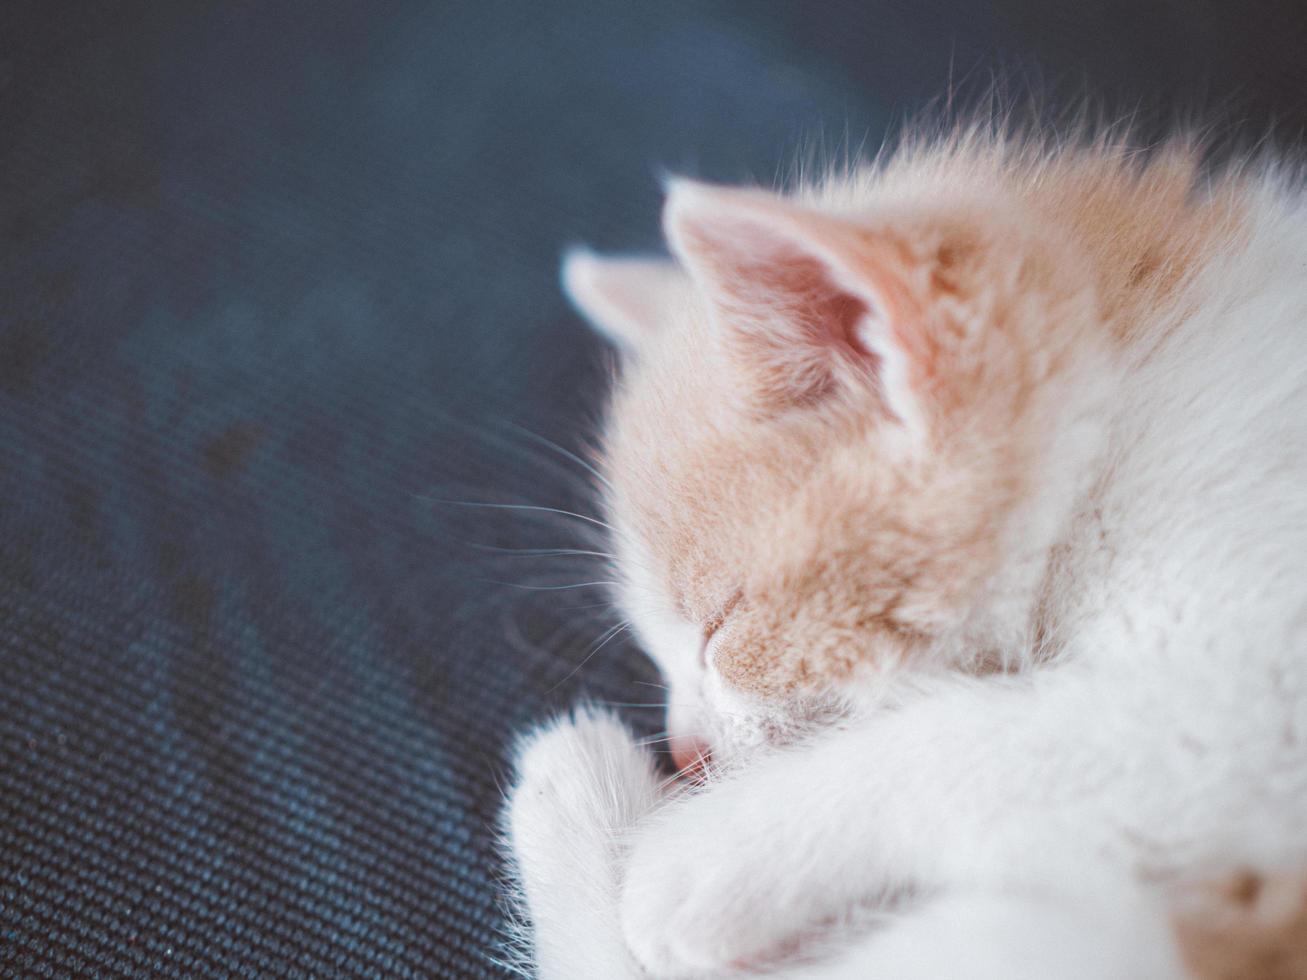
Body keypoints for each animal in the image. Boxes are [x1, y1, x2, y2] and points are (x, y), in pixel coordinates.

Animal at [504, 126, 1307, 977]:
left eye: (722, 627)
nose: (686, 755)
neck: (1119, 435)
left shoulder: (1251, 694)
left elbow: (988, 734)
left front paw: (703, 858)